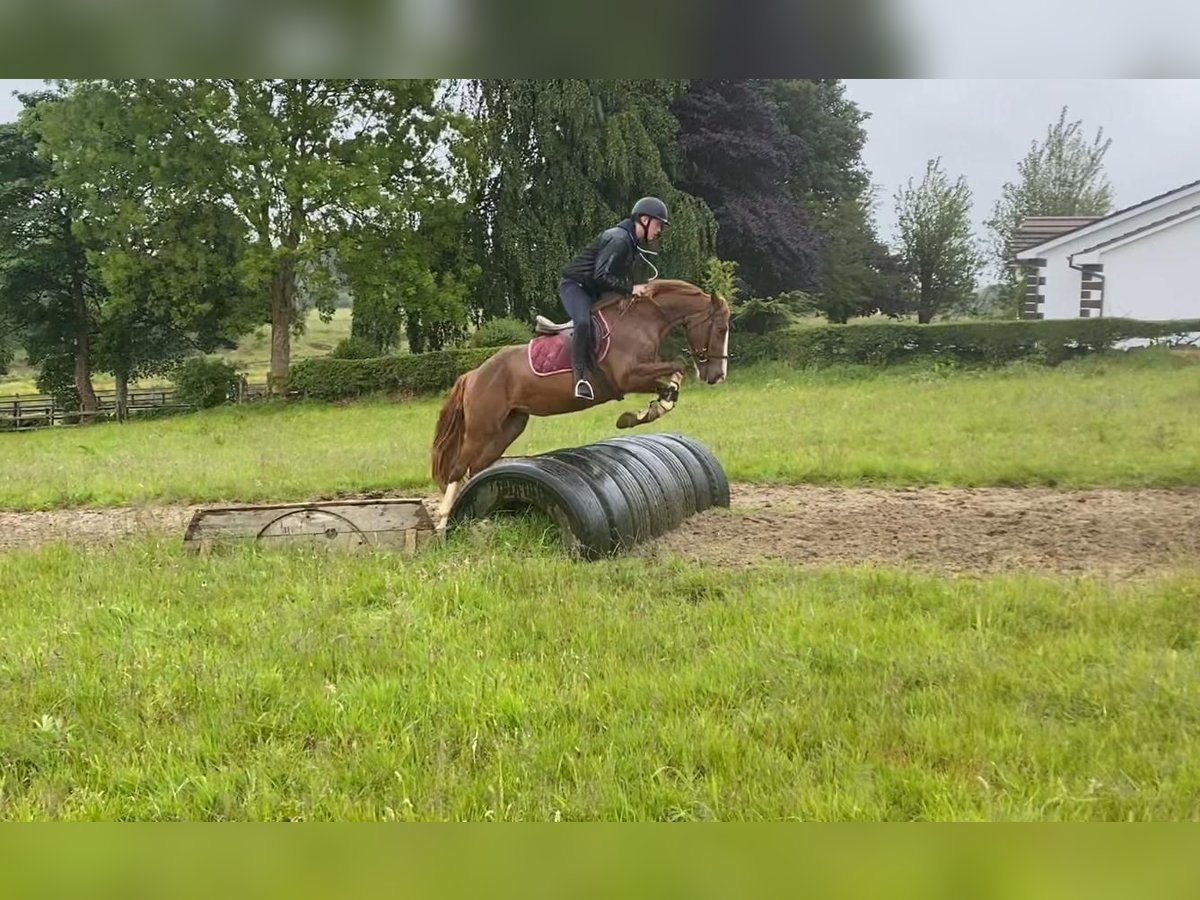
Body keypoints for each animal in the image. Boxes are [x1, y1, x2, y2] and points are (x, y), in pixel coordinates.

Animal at [432, 280, 729, 535]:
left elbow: (673, 377)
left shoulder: (642, 375)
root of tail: (473, 374)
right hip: (481, 428)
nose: (717, 376)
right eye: (721, 329)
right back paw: (443, 524)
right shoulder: (627, 377)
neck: (641, 322)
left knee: (476, 468)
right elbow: (679, 365)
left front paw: (646, 411)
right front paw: (639, 414)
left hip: (510, 426)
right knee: (458, 468)